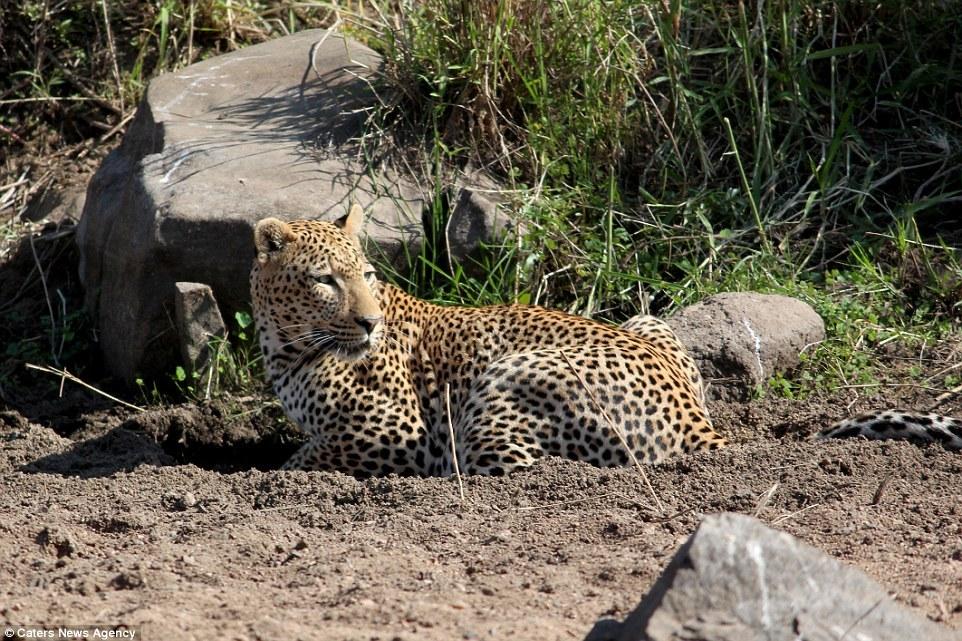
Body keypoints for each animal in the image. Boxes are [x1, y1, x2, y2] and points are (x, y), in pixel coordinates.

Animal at [249, 205, 960, 476]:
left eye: (366, 276)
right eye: (325, 280)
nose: (369, 322)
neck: (287, 347)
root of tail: (697, 421)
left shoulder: (400, 433)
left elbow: (303, 458)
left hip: (507, 380)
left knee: (519, 470)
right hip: (651, 323)